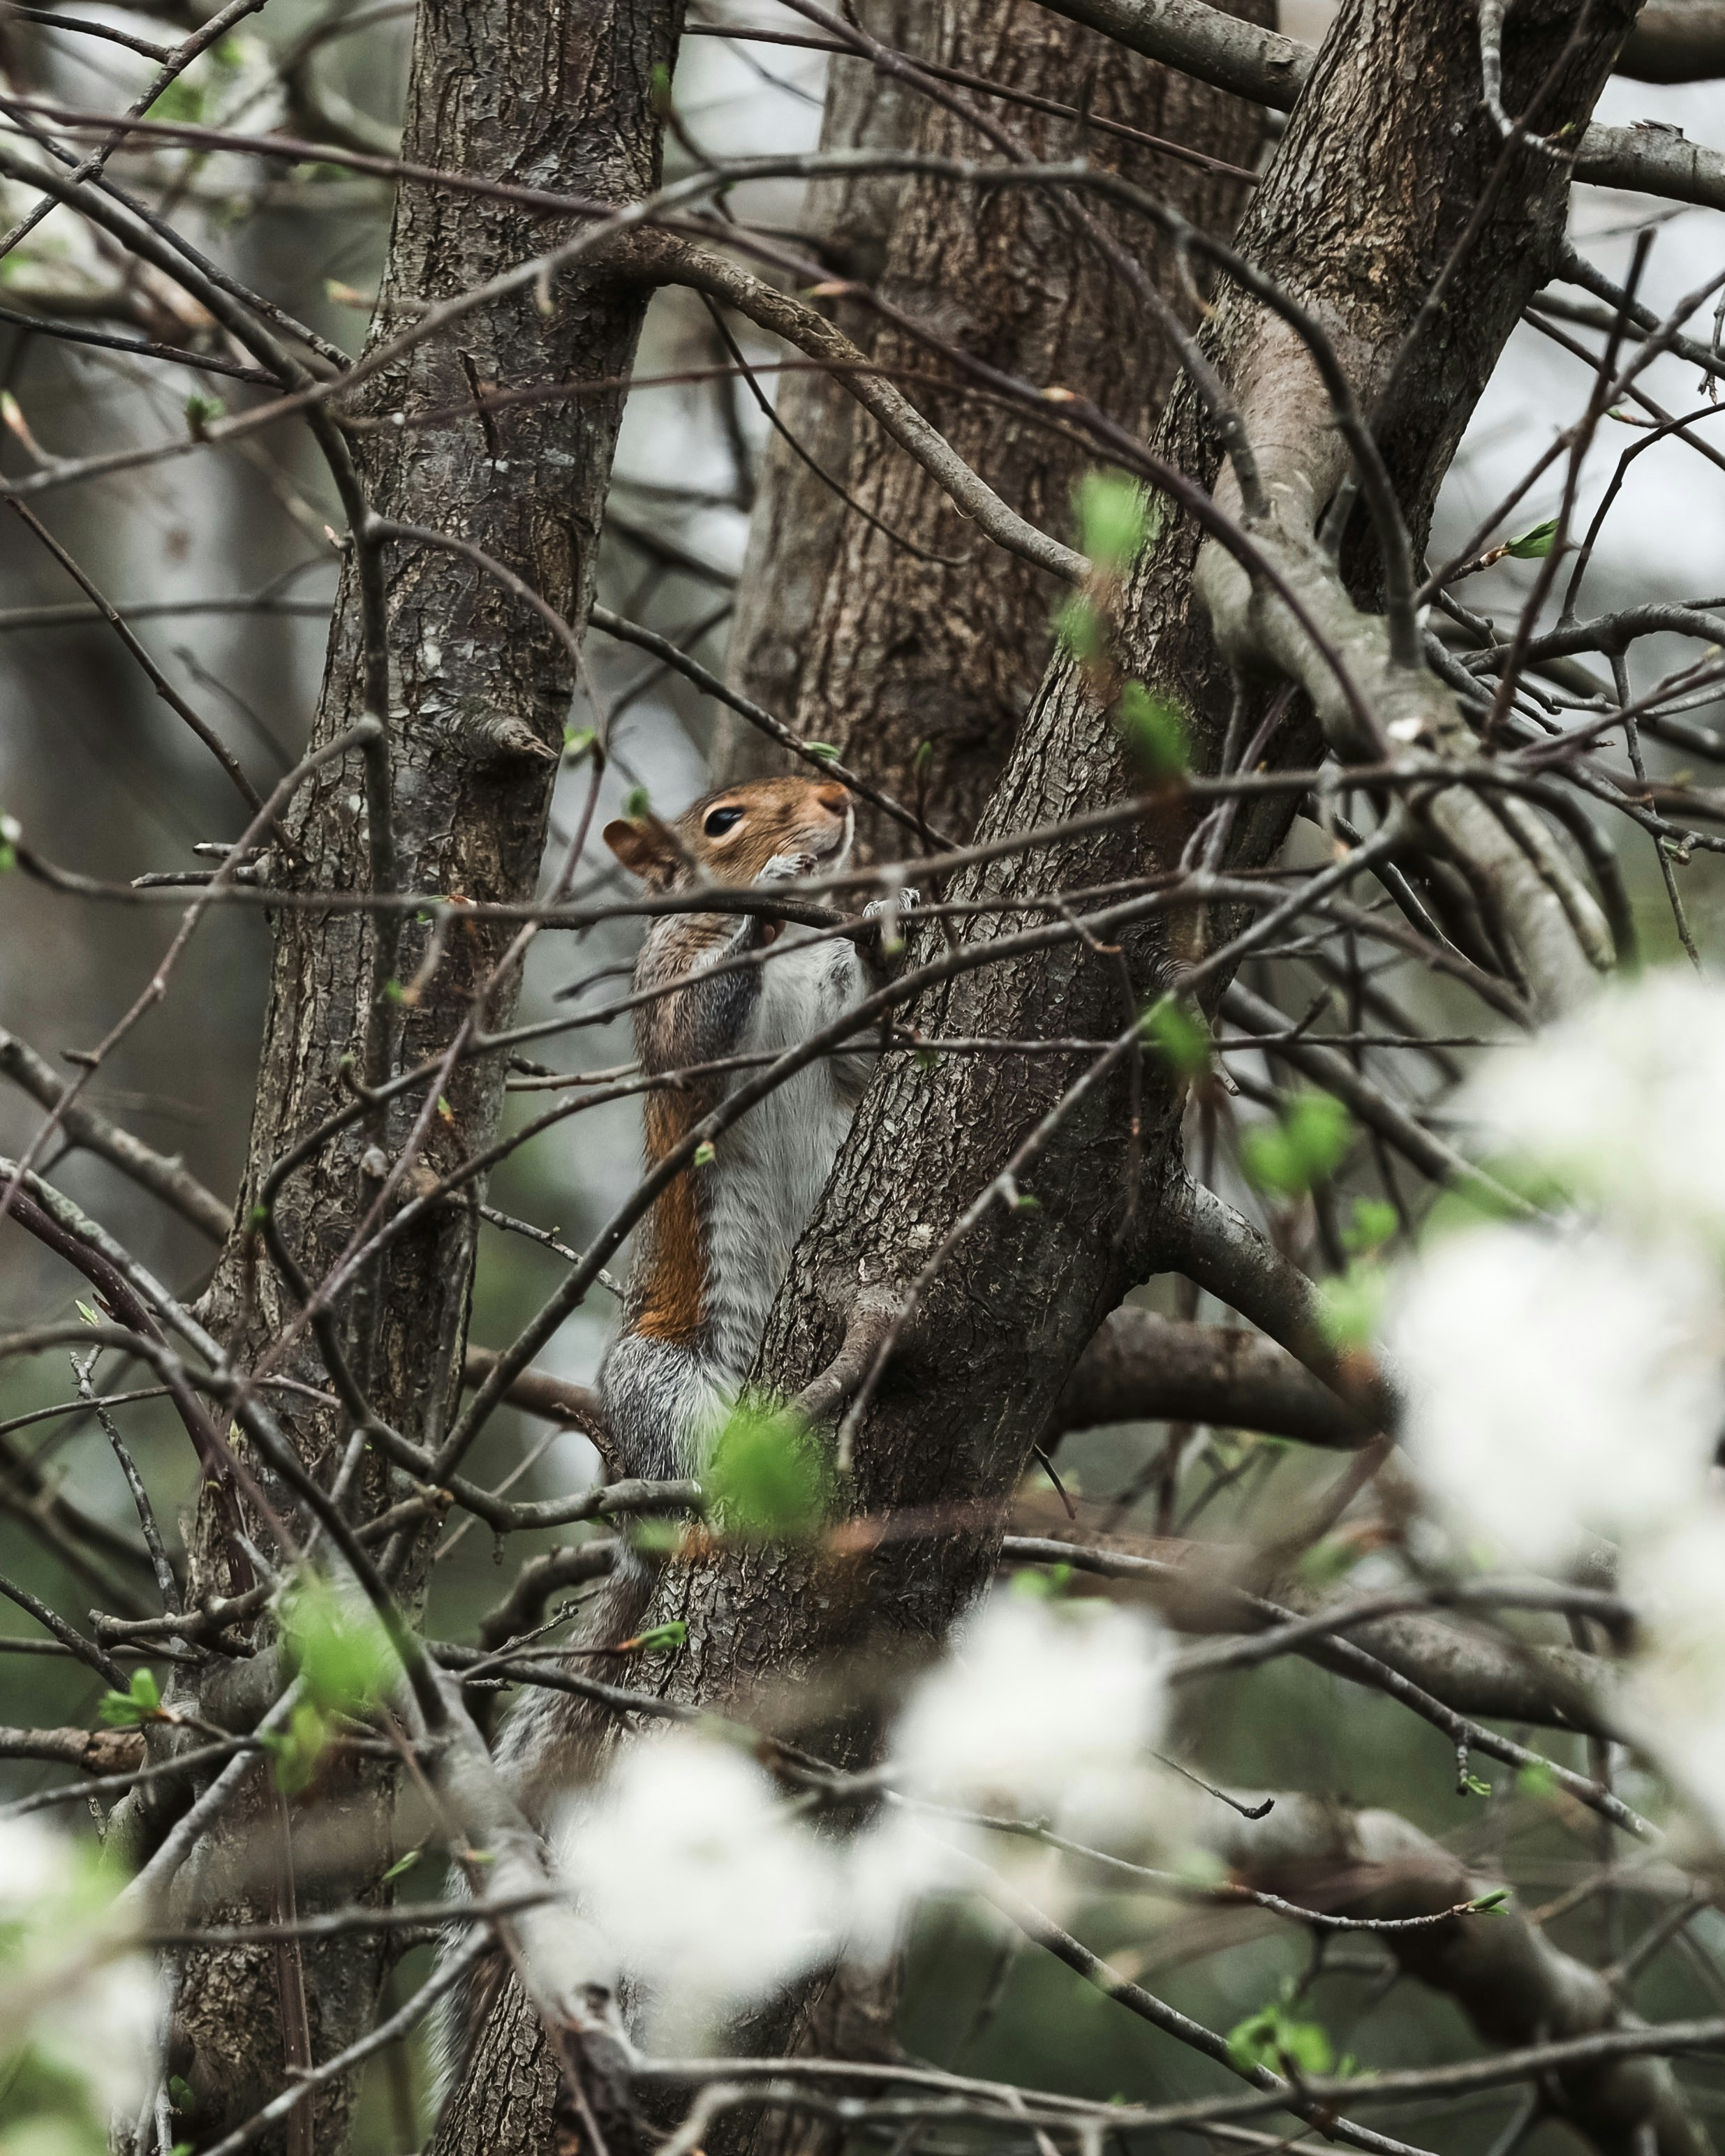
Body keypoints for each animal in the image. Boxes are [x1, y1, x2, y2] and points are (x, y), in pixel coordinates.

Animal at [490, 775, 916, 1826]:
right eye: (721, 821)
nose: (835, 795)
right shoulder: (667, 996)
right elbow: (693, 1033)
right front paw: (777, 881)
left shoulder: (837, 1040)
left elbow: (860, 1056)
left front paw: (888, 922)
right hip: (664, 1387)